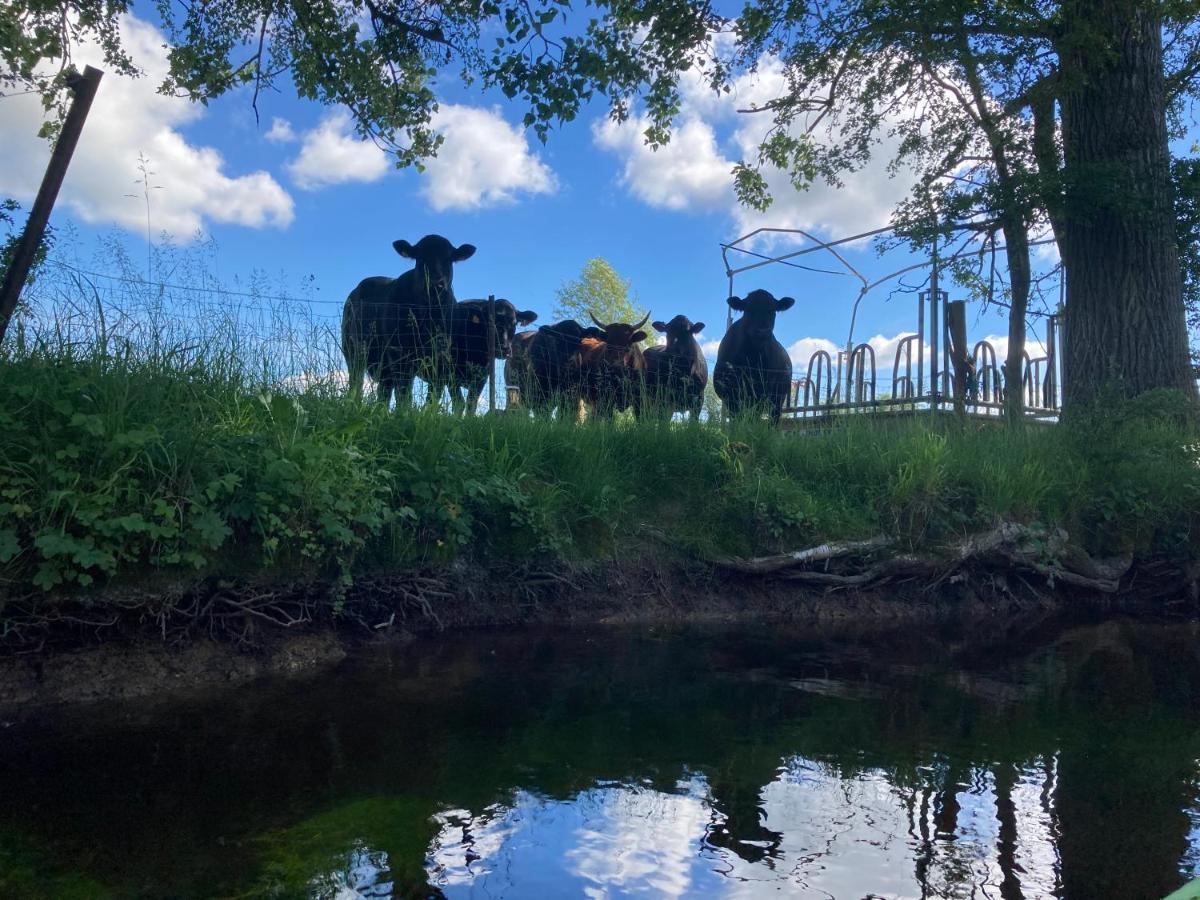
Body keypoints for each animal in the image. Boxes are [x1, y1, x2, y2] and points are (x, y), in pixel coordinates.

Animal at [340, 240, 475, 408]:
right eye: (420, 258)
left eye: (449, 259)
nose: (435, 284)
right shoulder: (399, 354)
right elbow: (404, 395)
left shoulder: (440, 359)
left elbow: (433, 396)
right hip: (352, 352)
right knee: (357, 383)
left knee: (384, 392)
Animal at [710, 292, 796, 427]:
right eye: (748, 309)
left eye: (773, 310)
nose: (762, 331)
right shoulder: (731, 393)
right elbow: (736, 418)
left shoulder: (763, 392)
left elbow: (754, 417)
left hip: (778, 398)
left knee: (773, 418)